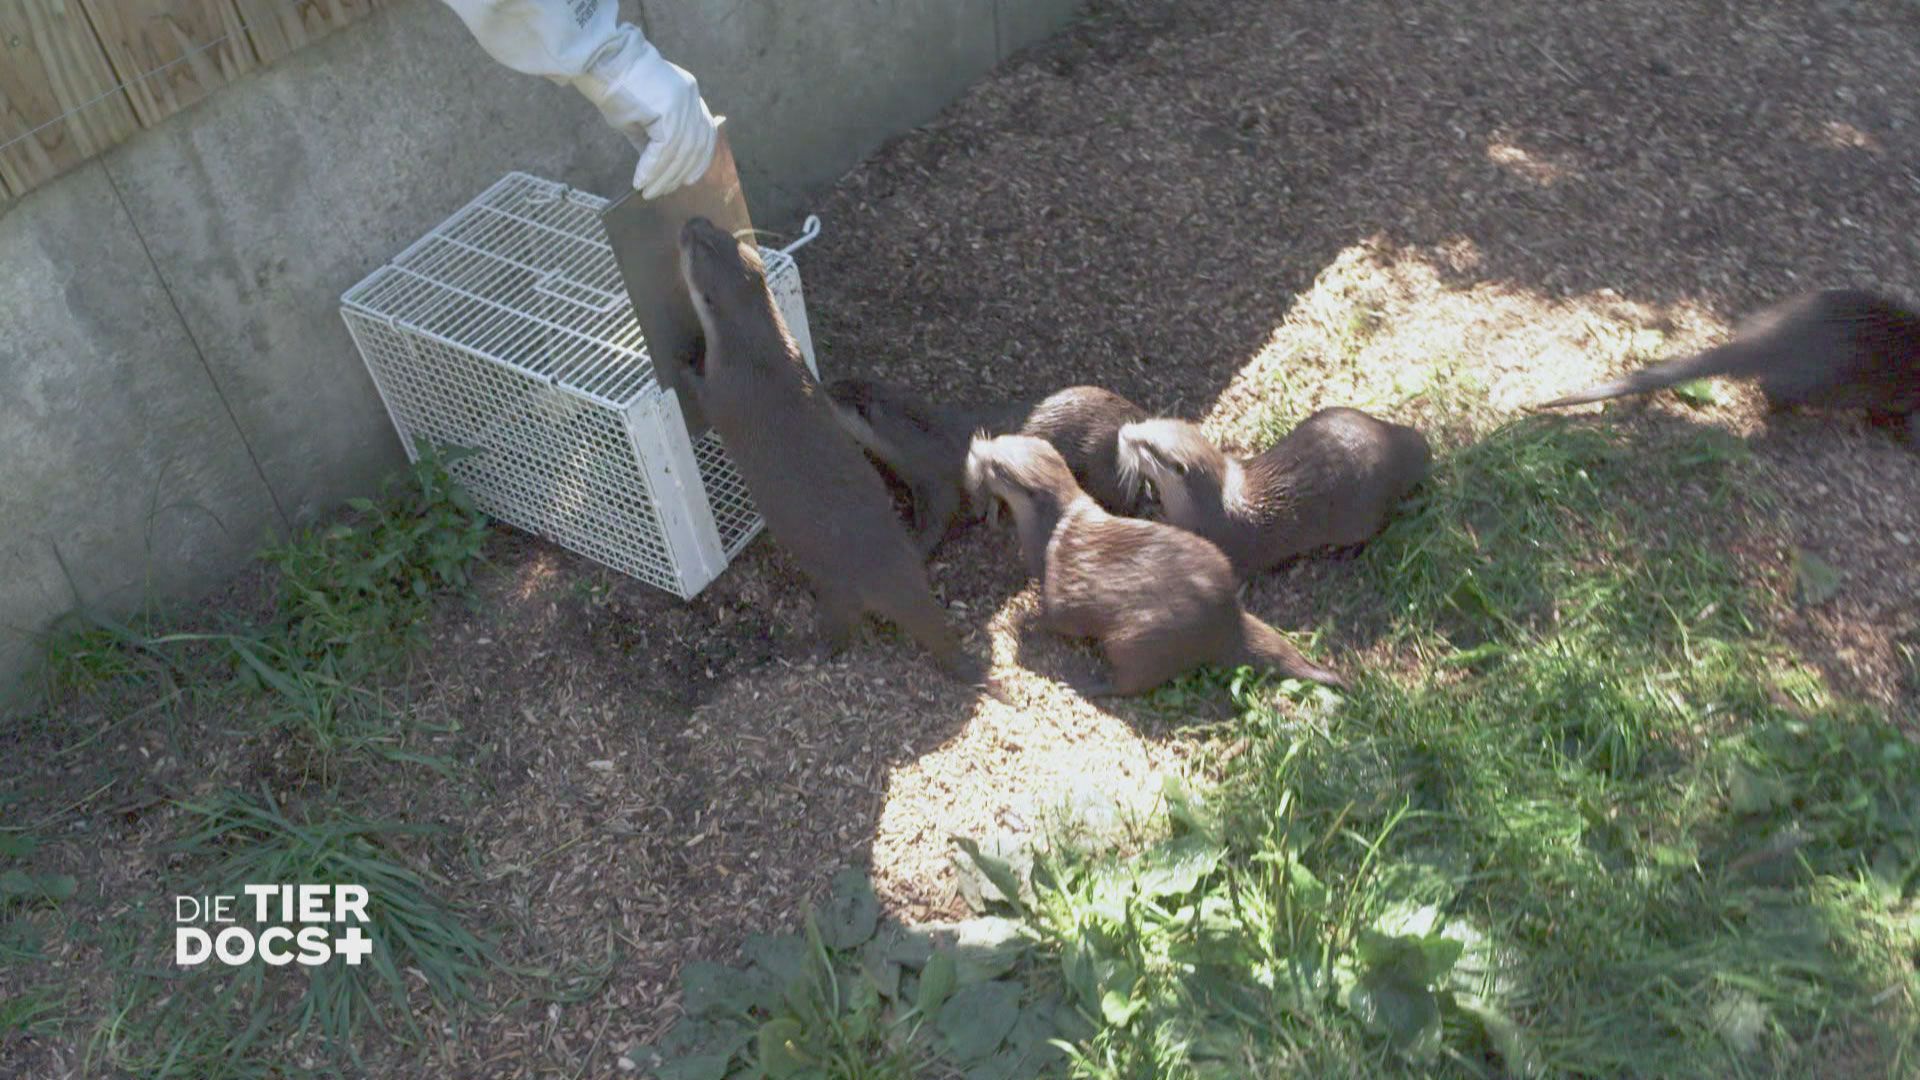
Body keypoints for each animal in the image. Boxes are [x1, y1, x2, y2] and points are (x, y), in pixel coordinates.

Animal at [675, 219, 998, 687]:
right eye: (716, 232)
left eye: (695, 247)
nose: (688, 223)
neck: (761, 356)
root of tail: (892, 574)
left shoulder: (726, 391)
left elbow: (702, 397)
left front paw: (684, 362)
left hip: (836, 588)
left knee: (843, 626)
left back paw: (812, 651)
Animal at [821, 376, 1136, 553]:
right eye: (842, 382)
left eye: (834, 395)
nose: (822, 385)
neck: (930, 440)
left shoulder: (937, 484)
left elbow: (937, 525)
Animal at [960, 430, 1351, 691]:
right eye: (1002, 440)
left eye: (999, 467)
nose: (977, 447)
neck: (1052, 531)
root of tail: (1226, 621)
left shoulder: (1062, 596)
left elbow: (1055, 620)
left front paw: (1018, 621)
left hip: (1139, 642)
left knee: (1128, 683)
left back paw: (1086, 682)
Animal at [1113, 405, 1428, 576]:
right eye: (1148, 425)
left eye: (1149, 447)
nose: (1124, 432)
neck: (1207, 508)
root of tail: (1393, 445)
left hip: (1360, 513)